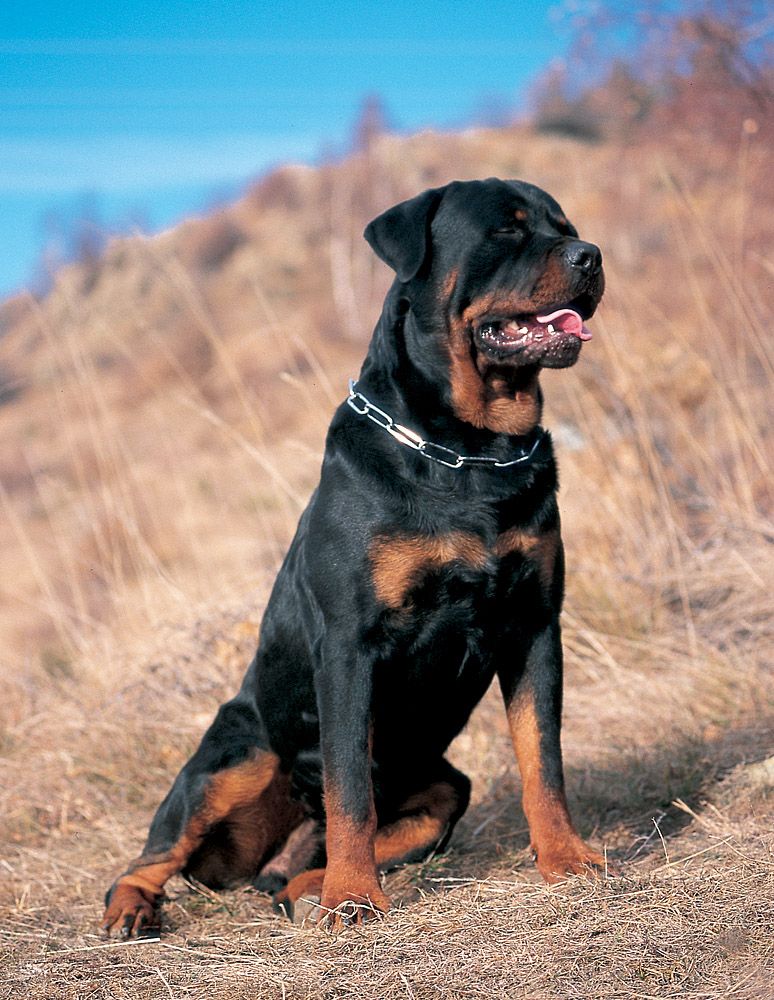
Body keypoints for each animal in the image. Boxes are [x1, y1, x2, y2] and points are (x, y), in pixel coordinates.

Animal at [103, 176, 608, 932]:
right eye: (506, 230)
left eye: (565, 226)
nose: (592, 255)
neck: (470, 453)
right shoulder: (349, 645)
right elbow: (347, 788)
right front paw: (354, 897)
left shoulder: (534, 626)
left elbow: (542, 760)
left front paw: (566, 860)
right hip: (235, 756)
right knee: (153, 857)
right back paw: (137, 910)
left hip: (441, 785)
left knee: (316, 855)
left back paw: (302, 886)